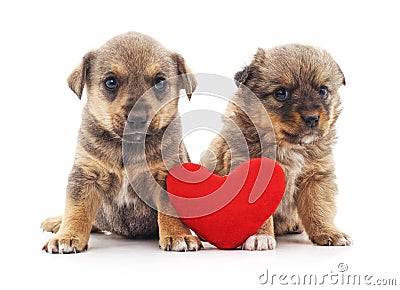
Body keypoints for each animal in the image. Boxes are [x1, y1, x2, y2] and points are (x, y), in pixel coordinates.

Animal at [42, 31, 202, 253]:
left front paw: (178, 235)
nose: (138, 118)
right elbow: (76, 210)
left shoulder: (166, 174)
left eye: (160, 82)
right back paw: (57, 222)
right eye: (111, 82)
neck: (127, 146)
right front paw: (67, 237)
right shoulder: (85, 175)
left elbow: (170, 209)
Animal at [202, 44, 352, 249]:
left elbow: (319, 208)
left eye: (323, 91)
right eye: (281, 93)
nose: (312, 118)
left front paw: (328, 232)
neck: (290, 147)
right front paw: (259, 237)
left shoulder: (316, 178)